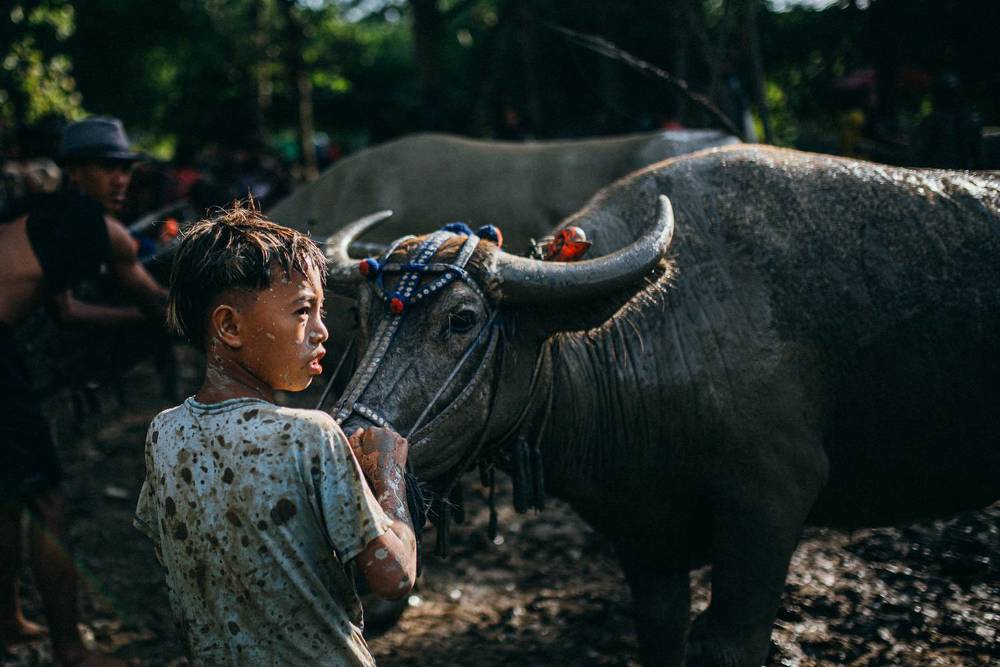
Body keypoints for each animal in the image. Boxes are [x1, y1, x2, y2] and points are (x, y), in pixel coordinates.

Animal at [324, 144, 1000, 666]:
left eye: (462, 319)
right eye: (362, 316)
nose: (350, 445)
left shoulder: (770, 508)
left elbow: (729, 643)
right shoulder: (644, 543)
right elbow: (659, 634)